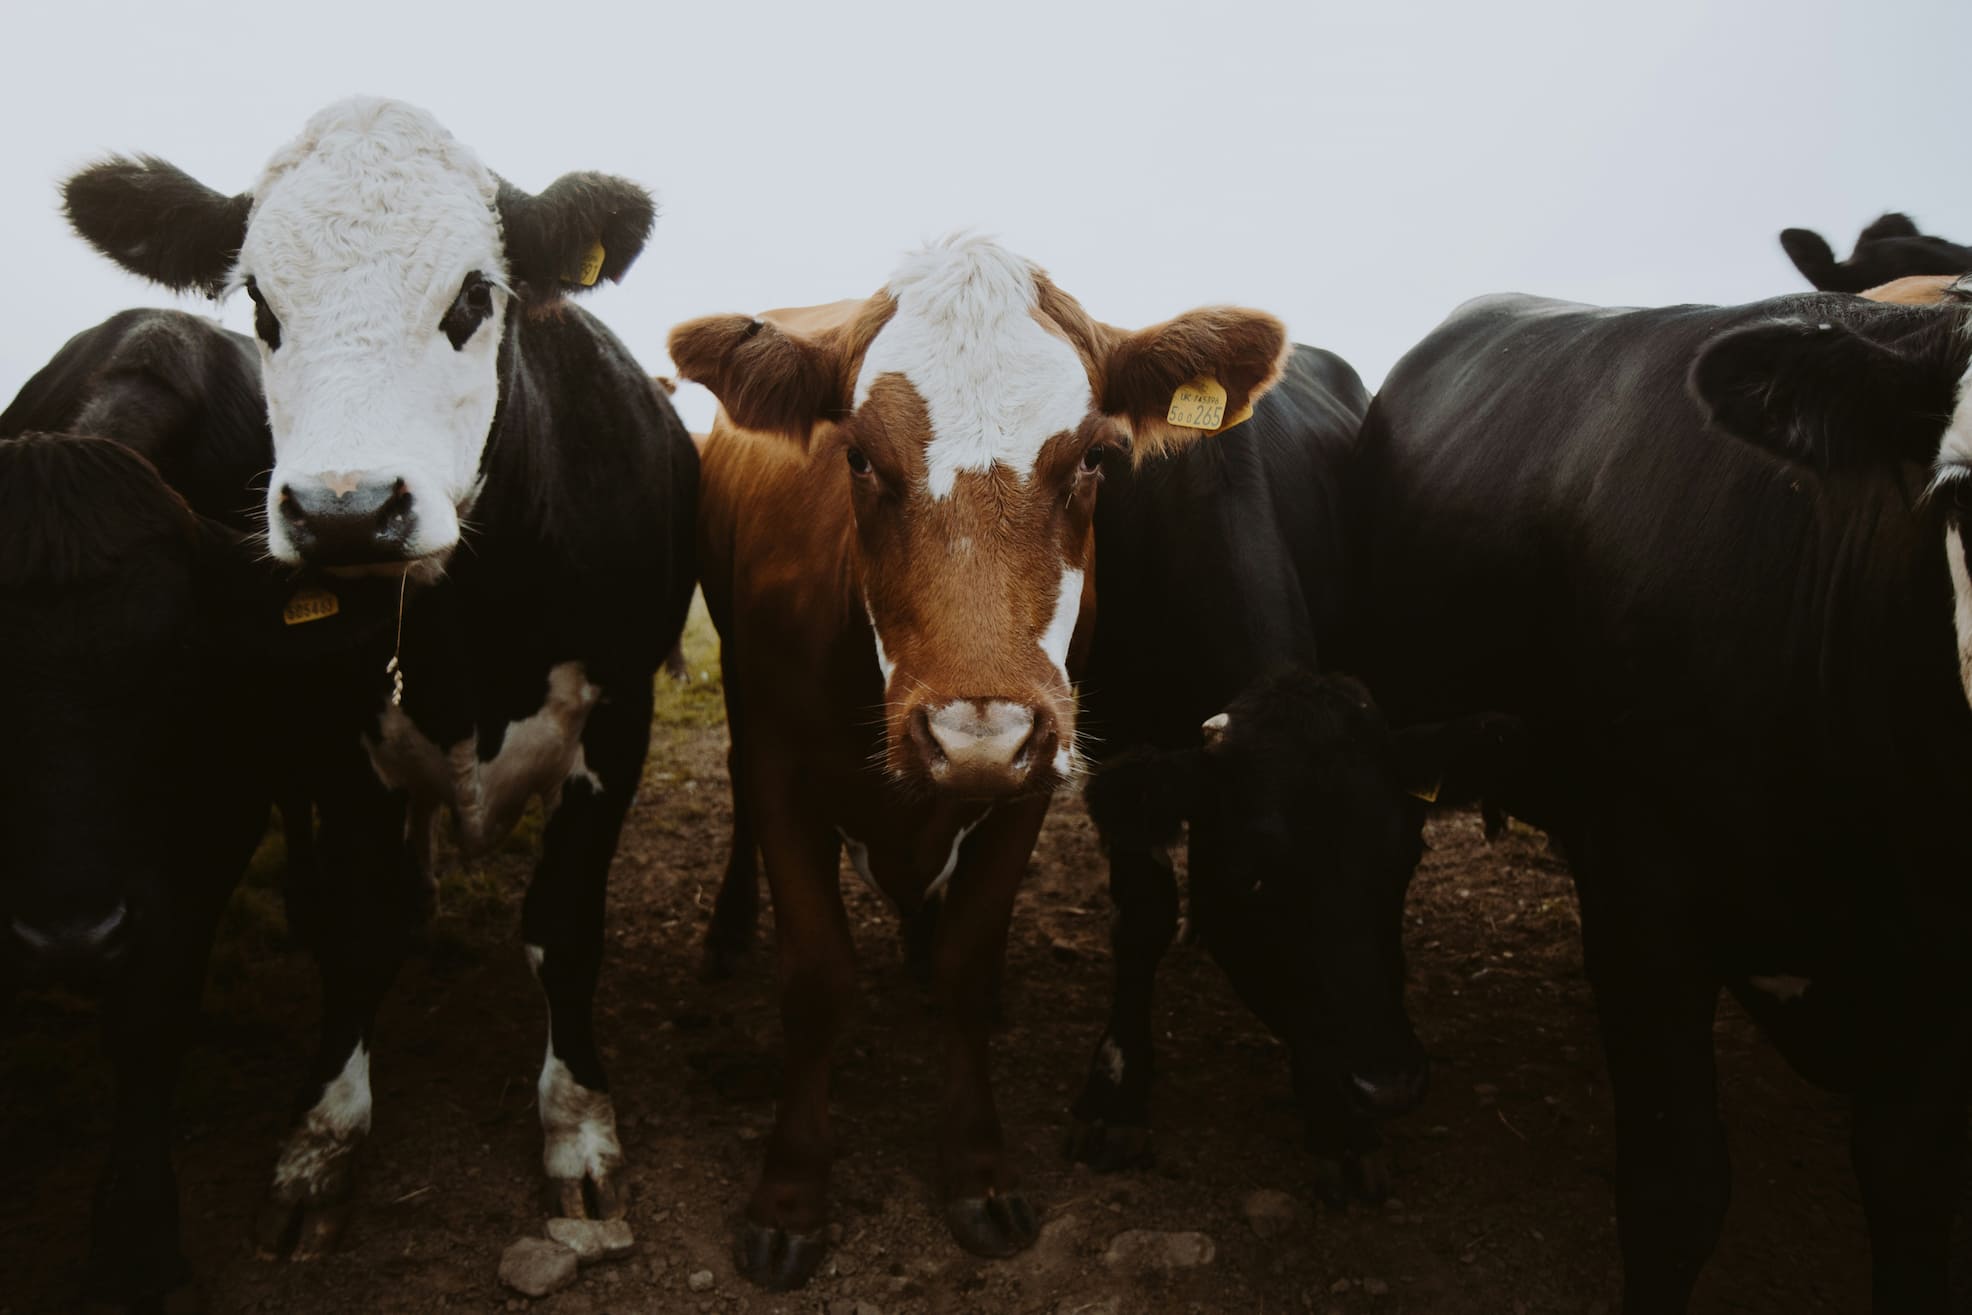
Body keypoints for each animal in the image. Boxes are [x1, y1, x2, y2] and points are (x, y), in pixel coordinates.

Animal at [59, 97, 699, 1262]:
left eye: (475, 295)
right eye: (259, 303)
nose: (344, 511)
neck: (467, 632)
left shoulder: (619, 714)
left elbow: (564, 925)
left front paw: (578, 1129)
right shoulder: (335, 732)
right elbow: (357, 930)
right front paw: (322, 1141)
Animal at [669, 234, 1291, 1289]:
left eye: (1096, 457)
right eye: (858, 455)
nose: (977, 733)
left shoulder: (1031, 785)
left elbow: (967, 957)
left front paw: (977, 1167)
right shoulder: (786, 765)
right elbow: (816, 977)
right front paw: (791, 1194)